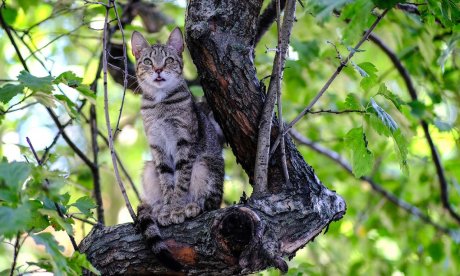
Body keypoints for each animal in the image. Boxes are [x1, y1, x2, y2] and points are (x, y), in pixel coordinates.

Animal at [131, 27, 225, 226]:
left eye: (169, 60)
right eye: (148, 61)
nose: (158, 69)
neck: (159, 103)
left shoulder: (184, 142)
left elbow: (181, 180)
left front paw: (177, 208)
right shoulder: (157, 145)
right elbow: (167, 181)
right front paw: (167, 209)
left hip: (205, 164)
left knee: (209, 201)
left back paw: (192, 206)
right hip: (149, 168)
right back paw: (156, 208)